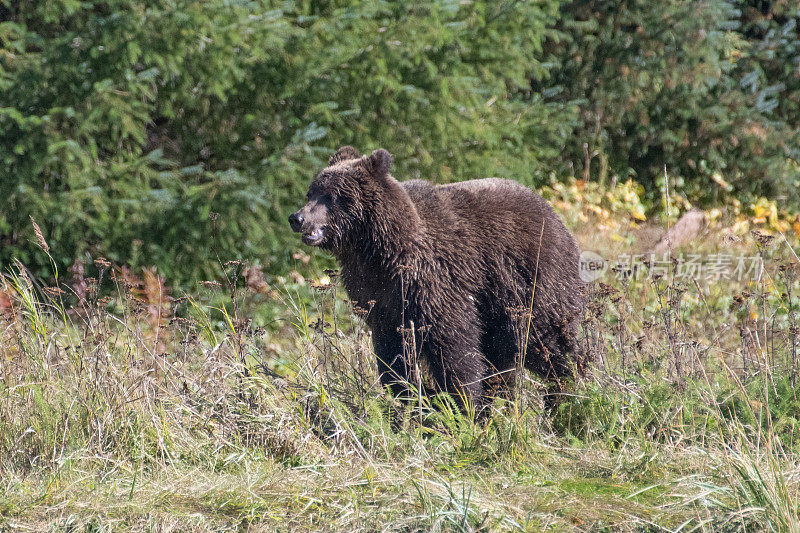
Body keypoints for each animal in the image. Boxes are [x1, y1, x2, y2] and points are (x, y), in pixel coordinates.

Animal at [290, 145, 588, 408]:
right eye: (310, 193)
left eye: (331, 195)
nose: (297, 218)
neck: (375, 250)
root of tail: (554, 214)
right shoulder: (377, 295)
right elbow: (392, 355)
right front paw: (411, 394)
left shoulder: (434, 280)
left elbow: (453, 344)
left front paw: (462, 401)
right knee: (504, 354)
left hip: (529, 278)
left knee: (550, 339)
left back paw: (572, 387)